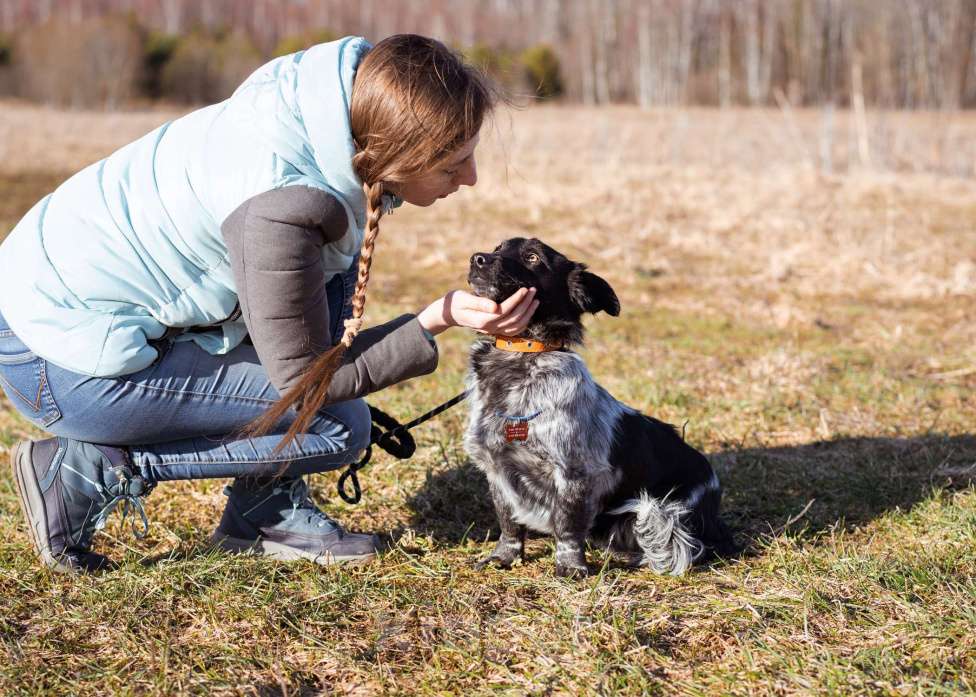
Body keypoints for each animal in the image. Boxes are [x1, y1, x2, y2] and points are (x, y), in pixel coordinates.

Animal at [464, 238, 732, 576]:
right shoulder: (498, 469)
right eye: (498, 247)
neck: (522, 359)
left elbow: (567, 526)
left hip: (662, 513)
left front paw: (570, 568)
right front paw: (505, 556)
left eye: (533, 257)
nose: (477, 258)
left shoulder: (576, 473)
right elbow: (509, 523)